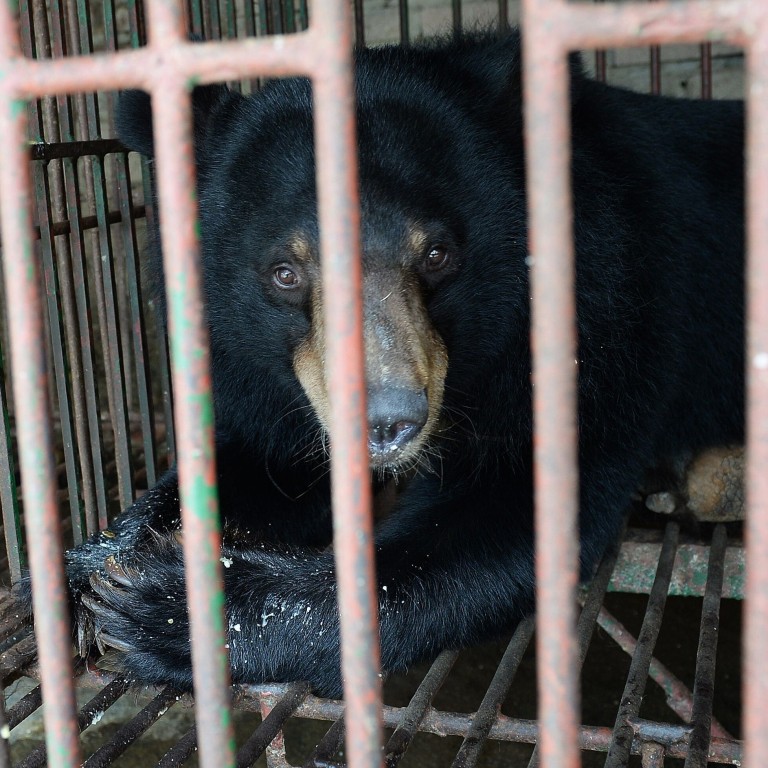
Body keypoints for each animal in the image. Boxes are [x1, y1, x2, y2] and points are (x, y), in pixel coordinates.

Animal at [20, 30, 744, 698]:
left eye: (437, 255)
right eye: (285, 272)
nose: (388, 422)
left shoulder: (600, 310)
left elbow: (504, 515)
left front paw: (170, 611)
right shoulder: (256, 372)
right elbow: (257, 461)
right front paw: (85, 575)